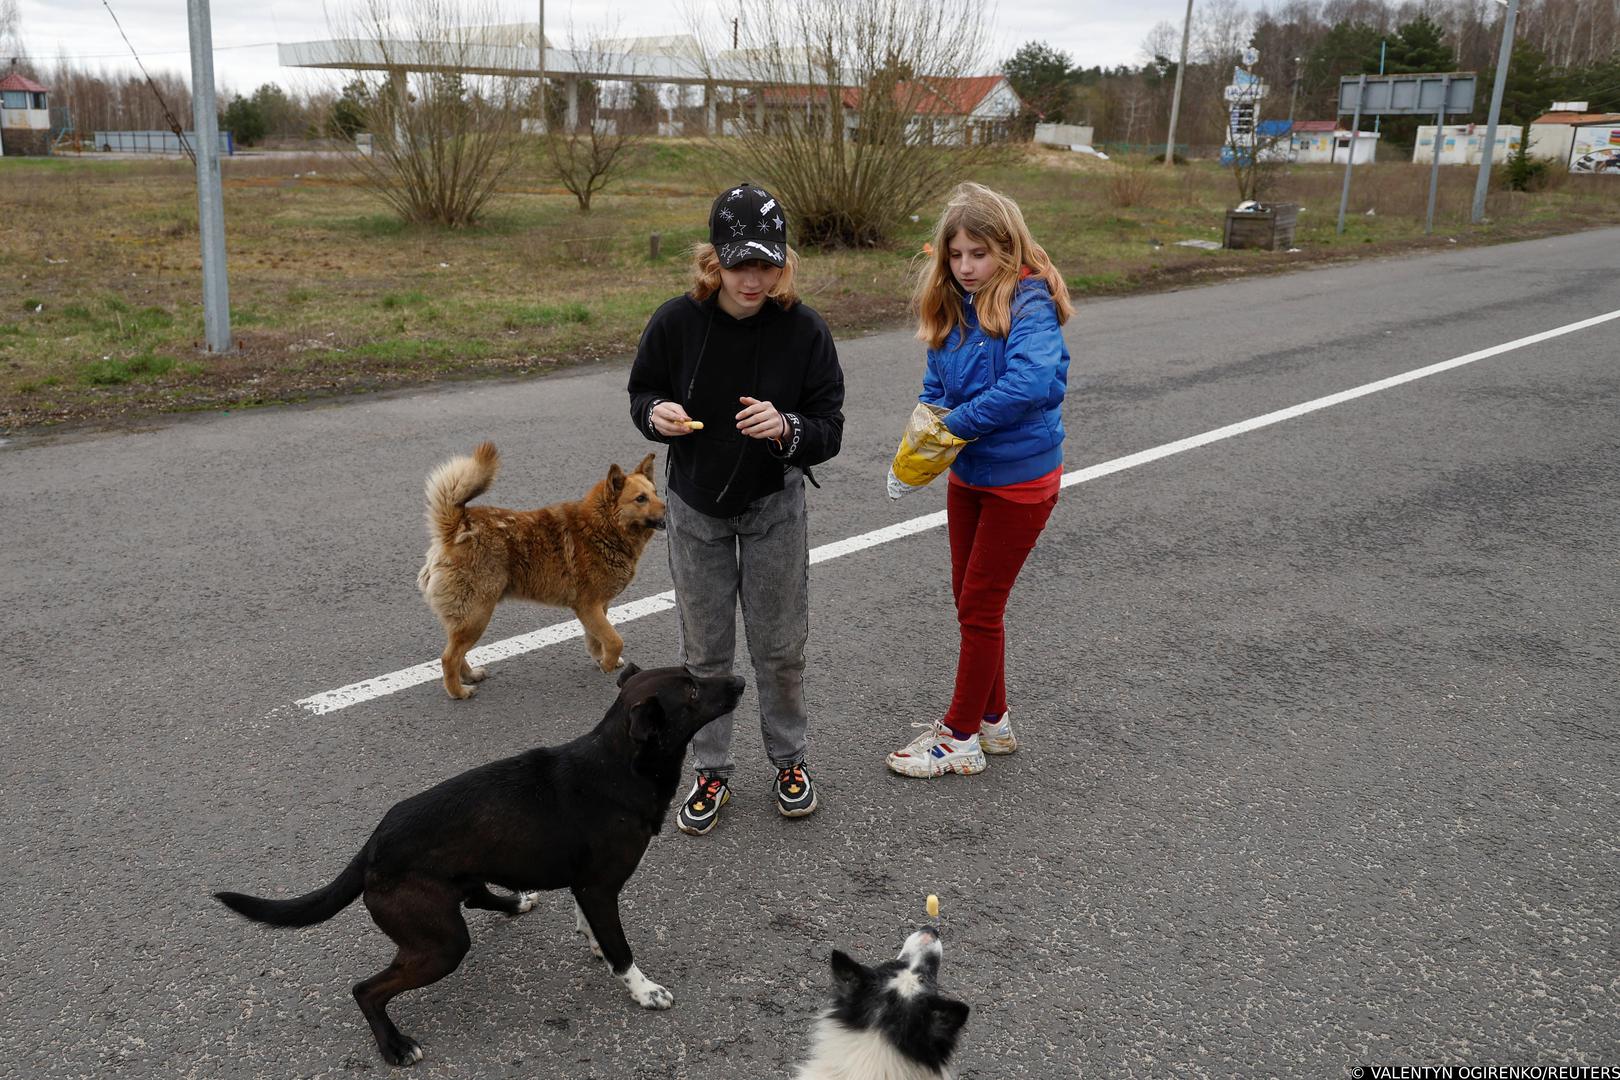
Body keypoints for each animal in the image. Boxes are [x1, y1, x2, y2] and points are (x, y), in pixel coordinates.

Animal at [215, 663, 745, 1068]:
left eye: (694, 674)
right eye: (692, 690)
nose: (740, 680)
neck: (619, 765)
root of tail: (373, 847)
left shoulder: (587, 888)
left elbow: (593, 928)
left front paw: (592, 943)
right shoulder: (599, 888)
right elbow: (621, 950)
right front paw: (643, 990)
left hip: (457, 893)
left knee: (475, 897)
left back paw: (516, 903)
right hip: (442, 944)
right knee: (366, 990)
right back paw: (394, 1046)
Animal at [424, 440, 670, 702]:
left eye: (655, 492)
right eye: (641, 498)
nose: (668, 509)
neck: (602, 527)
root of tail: (456, 527)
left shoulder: (597, 608)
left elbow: (596, 640)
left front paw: (600, 660)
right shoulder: (588, 607)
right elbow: (614, 640)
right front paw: (607, 664)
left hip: (467, 618)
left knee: (456, 652)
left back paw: (469, 676)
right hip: (477, 615)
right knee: (449, 657)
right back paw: (458, 691)